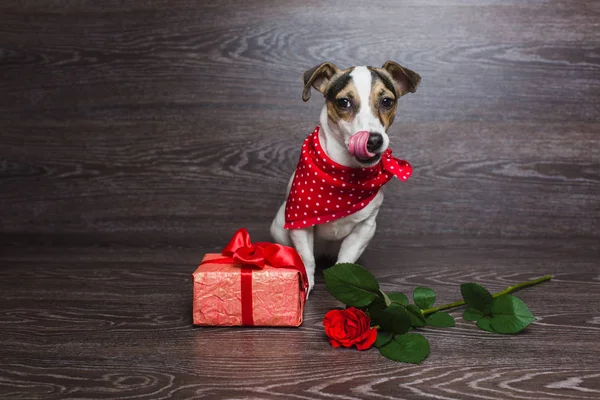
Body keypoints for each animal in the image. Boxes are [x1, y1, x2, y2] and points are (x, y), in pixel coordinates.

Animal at [270, 62, 420, 294]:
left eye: (387, 101)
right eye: (344, 102)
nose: (374, 140)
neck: (346, 175)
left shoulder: (365, 229)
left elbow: (346, 258)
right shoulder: (300, 223)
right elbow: (306, 258)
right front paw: (306, 284)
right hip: (278, 226)